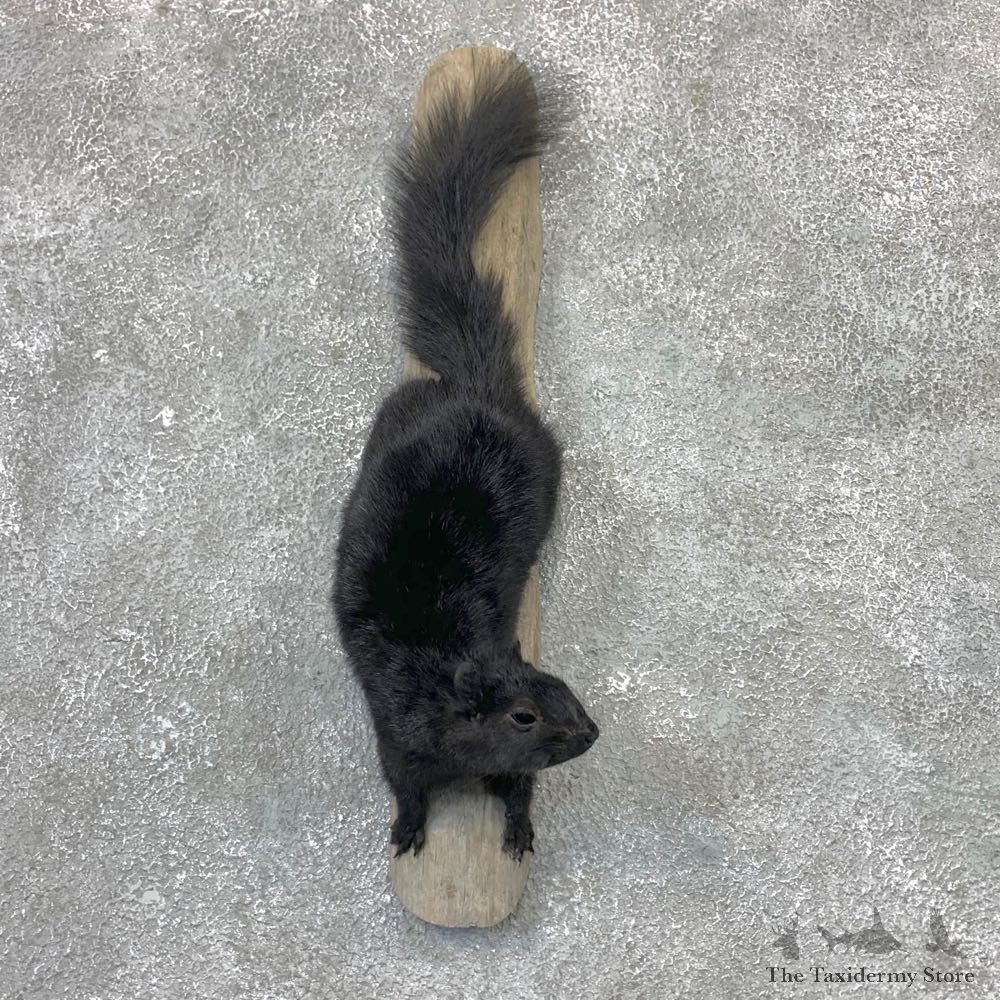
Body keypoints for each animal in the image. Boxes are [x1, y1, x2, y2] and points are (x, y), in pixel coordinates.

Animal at [332, 60, 599, 861]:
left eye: (563, 687)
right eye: (524, 716)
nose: (591, 731)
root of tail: (476, 387)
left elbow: (516, 789)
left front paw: (517, 831)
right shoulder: (396, 741)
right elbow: (407, 788)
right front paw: (407, 831)